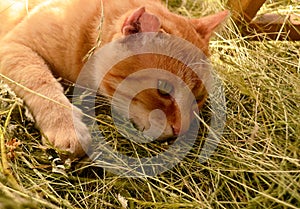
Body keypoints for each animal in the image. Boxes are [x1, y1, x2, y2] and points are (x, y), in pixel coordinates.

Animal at [0, 0, 227, 157]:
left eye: (198, 97)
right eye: (163, 89)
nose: (180, 129)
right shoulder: (14, 47)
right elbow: (42, 82)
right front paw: (66, 127)